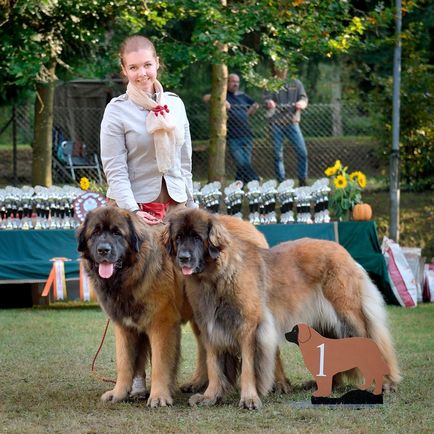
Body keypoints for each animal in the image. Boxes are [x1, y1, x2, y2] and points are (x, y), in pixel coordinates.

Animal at [164, 209, 402, 408]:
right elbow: (214, 365)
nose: (183, 258)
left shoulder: (248, 327)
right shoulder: (211, 327)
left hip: (348, 316)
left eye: (197, 237)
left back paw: (386, 383)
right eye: (178, 238)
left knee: (373, 343)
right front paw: (210, 396)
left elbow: (249, 366)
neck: (216, 277)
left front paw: (249, 398)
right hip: (323, 322)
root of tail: (344, 252)